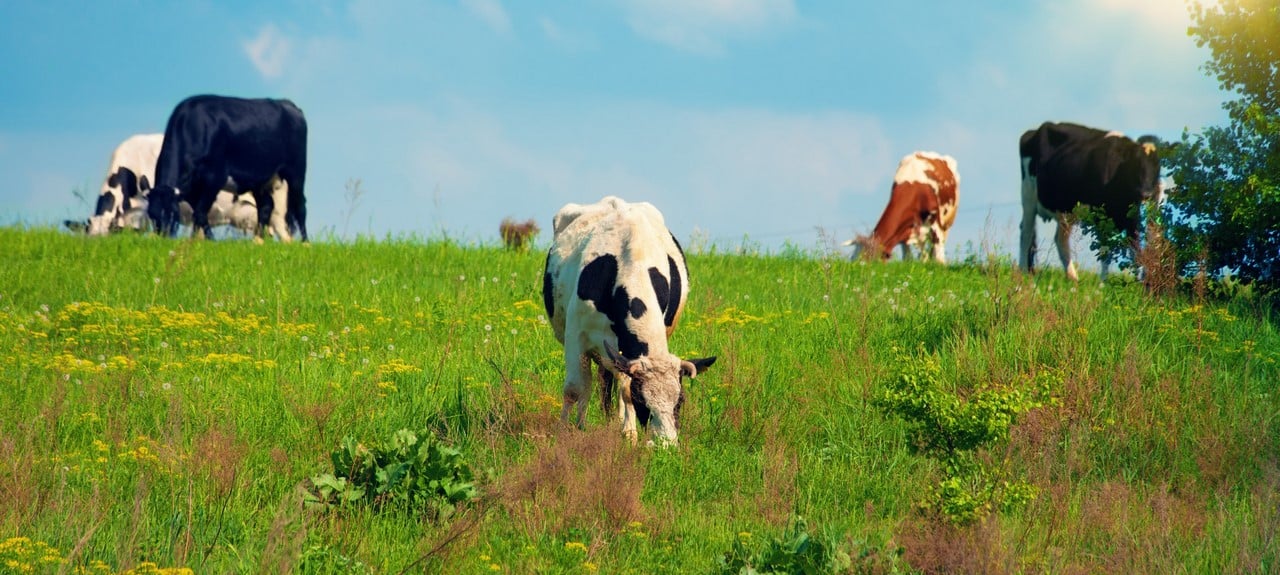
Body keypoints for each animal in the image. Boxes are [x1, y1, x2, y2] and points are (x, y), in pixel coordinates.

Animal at [146, 94, 308, 239]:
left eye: (173, 213)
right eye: (151, 215)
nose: (163, 237)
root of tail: (287, 104)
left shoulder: (214, 178)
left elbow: (199, 213)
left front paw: (209, 241)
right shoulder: (192, 190)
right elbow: (199, 215)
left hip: (296, 171)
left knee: (300, 207)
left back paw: (305, 242)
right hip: (259, 180)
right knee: (266, 205)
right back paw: (257, 241)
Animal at [542, 193, 721, 443]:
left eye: (680, 401)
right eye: (643, 401)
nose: (666, 445)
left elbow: (625, 388)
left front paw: (629, 434)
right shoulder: (576, 336)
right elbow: (574, 389)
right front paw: (563, 432)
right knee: (589, 386)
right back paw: (582, 423)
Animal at [1018, 121, 1162, 280]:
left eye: (1157, 165)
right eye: (1136, 163)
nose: (1146, 193)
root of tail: (1034, 131)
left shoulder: (1131, 217)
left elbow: (1135, 248)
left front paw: (1138, 281)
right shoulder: (1101, 216)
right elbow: (1105, 249)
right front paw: (1103, 281)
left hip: (1067, 212)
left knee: (1060, 239)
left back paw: (1072, 277)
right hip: (1028, 197)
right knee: (1026, 233)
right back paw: (1023, 271)